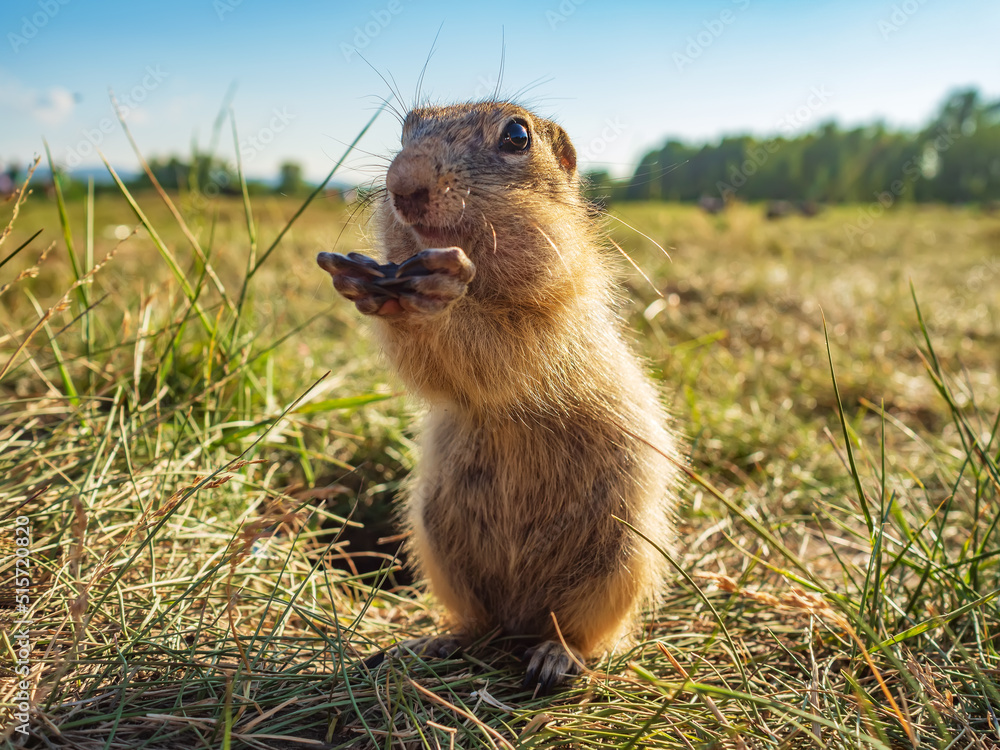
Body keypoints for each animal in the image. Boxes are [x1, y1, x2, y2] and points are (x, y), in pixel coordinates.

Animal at [316, 100, 684, 692]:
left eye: (516, 135)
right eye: (406, 126)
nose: (403, 183)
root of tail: (518, 621)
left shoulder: (554, 311)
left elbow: (502, 348)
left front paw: (434, 294)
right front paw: (365, 283)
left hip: (617, 564)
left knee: (586, 633)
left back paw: (554, 657)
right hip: (440, 549)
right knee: (479, 623)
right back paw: (433, 643)